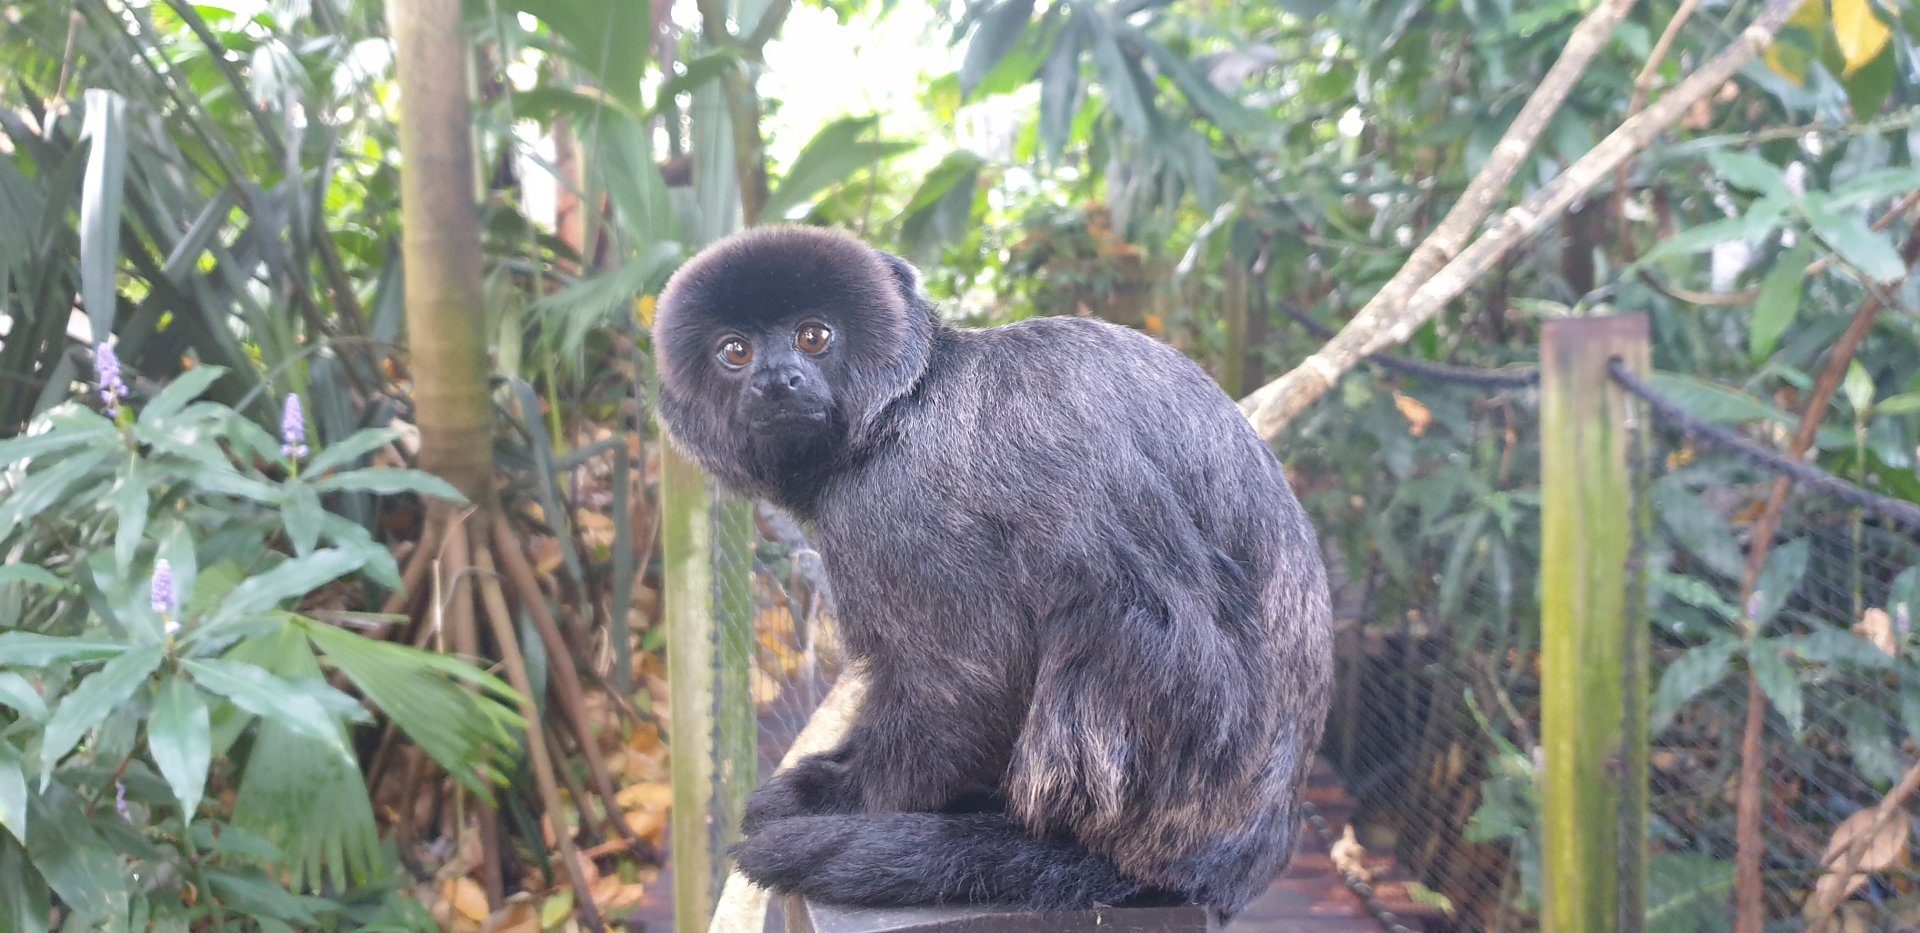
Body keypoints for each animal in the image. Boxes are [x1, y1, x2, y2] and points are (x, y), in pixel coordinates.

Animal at [649, 225, 1333, 921]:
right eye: (735, 352)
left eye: (814, 337)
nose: (777, 380)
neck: (906, 403)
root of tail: (1240, 860)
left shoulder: (898, 504)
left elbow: (967, 683)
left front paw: (838, 796)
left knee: (1124, 597)